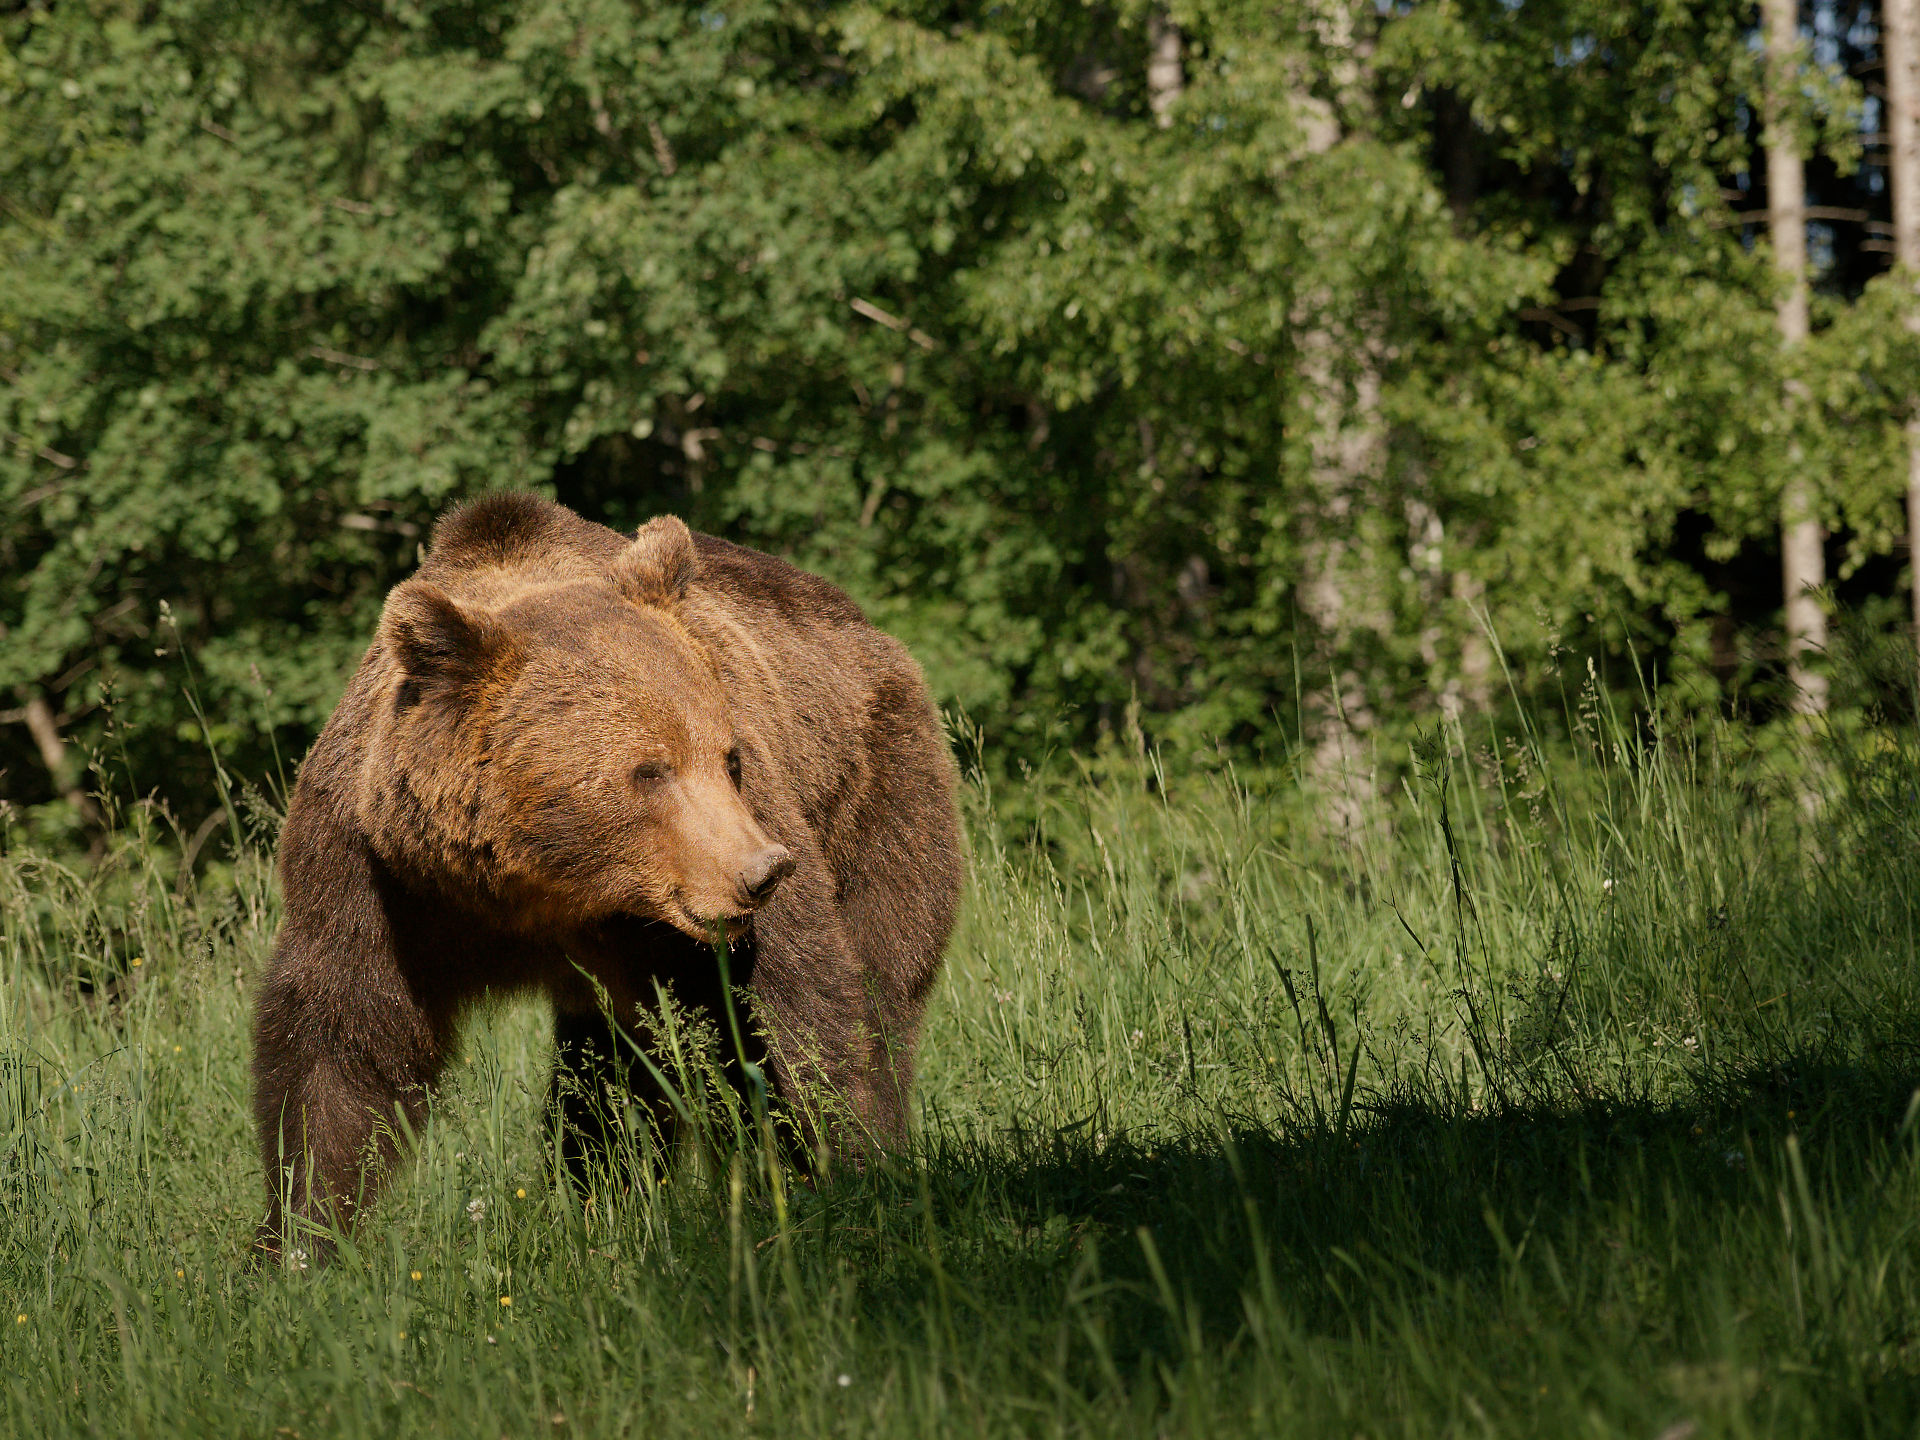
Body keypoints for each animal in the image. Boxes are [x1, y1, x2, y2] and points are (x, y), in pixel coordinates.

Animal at [252, 493, 962, 1253]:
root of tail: (870, 630)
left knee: (883, 980)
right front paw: (302, 1234)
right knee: (605, 1080)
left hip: (880, 785)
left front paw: (836, 1167)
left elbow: (792, 1009)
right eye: (651, 770)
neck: (542, 884)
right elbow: (341, 1043)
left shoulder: (723, 878)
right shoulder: (382, 882)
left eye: (729, 757)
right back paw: (604, 1197)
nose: (763, 871)